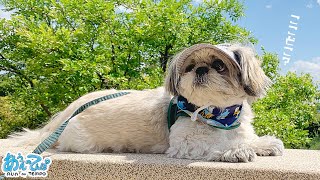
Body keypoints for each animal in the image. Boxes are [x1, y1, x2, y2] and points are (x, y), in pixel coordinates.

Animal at [12, 43, 284, 162]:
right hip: (82, 141)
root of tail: (70, 109)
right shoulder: (186, 142)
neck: (218, 114)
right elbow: (216, 144)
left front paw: (263, 144)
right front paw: (236, 150)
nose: (200, 69)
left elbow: (246, 137)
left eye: (219, 65)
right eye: (189, 66)